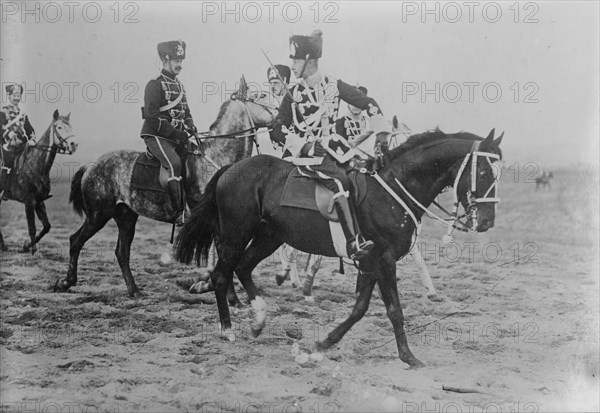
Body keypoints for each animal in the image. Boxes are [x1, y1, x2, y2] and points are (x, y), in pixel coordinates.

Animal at [54, 82, 276, 296]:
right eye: (262, 95)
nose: (279, 117)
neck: (217, 157)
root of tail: (91, 165)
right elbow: (224, 255)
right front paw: (228, 296)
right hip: (98, 215)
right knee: (76, 241)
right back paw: (66, 282)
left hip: (126, 216)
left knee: (122, 252)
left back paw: (134, 291)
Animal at [177, 127, 502, 366]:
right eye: (484, 173)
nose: (487, 221)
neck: (392, 192)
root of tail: (232, 168)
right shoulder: (384, 259)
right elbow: (394, 310)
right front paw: (409, 357)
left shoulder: (370, 261)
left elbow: (359, 308)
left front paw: (322, 344)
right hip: (236, 234)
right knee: (222, 275)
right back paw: (228, 330)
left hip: (269, 236)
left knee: (243, 268)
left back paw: (258, 320)